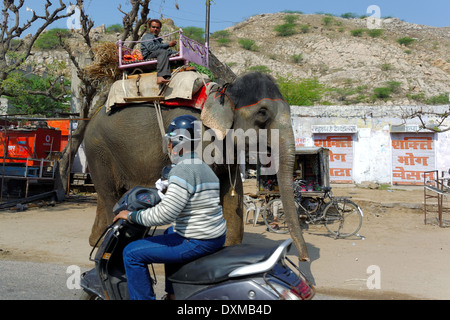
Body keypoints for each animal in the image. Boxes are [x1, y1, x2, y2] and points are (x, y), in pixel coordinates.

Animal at [84, 71, 310, 262]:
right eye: (262, 113)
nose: (304, 259)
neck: (222, 93)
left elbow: (232, 192)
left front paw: (230, 249)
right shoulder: (201, 137)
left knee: (106, 196)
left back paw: (95, 240)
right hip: (98, 149)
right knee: (110, 194)